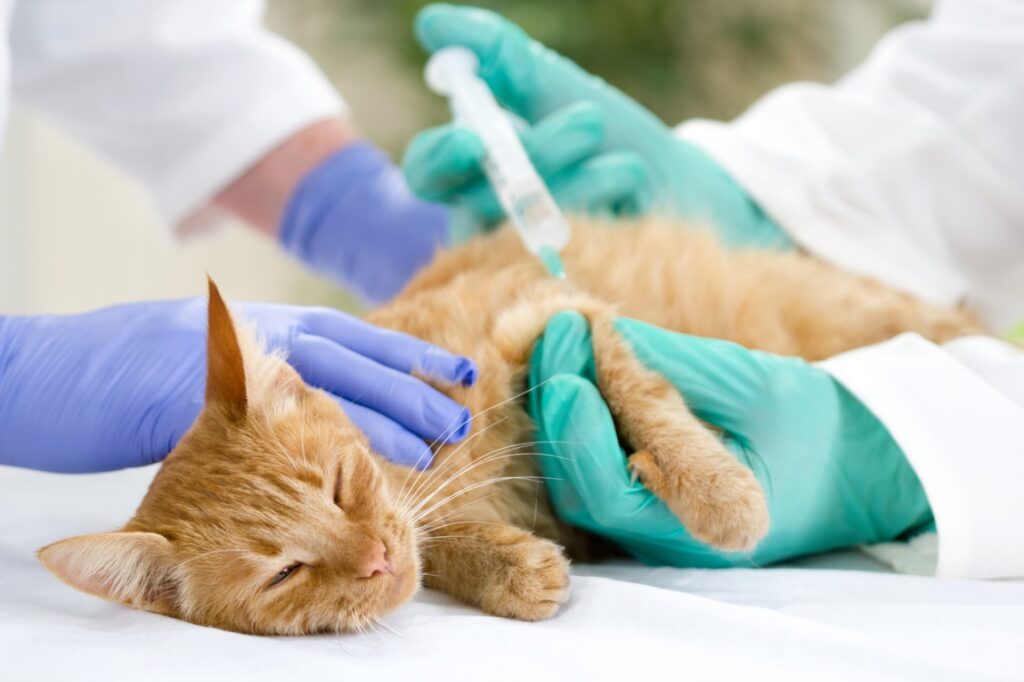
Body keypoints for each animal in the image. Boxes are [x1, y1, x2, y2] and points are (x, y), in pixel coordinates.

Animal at [36, 216, 974, 630]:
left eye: (338, 488)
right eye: (284, 573)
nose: (374, 559)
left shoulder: (560, 313)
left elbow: (647, 400)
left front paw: (722, 496)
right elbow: (443, 551)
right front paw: (504, 568)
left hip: (866, 309)